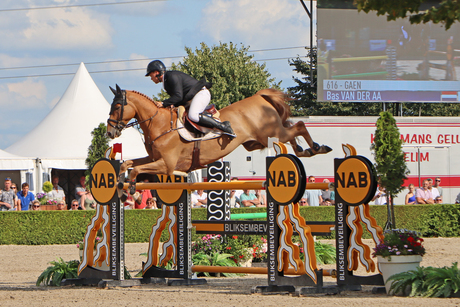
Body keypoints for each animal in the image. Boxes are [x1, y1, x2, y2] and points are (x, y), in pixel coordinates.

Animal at [106, 84, 332, 184]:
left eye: (117, 106)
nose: (110, 131)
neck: (160, 124)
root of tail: (260, 97)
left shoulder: (167, 165)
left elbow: (136, 170)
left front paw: (130, 187)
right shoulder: (154, 159)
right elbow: (128, 164)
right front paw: (120, 183)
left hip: (272, 133)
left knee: (299, 125)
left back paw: (317, 147)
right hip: (258, 141)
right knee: (293, 134)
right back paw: (305, 150)